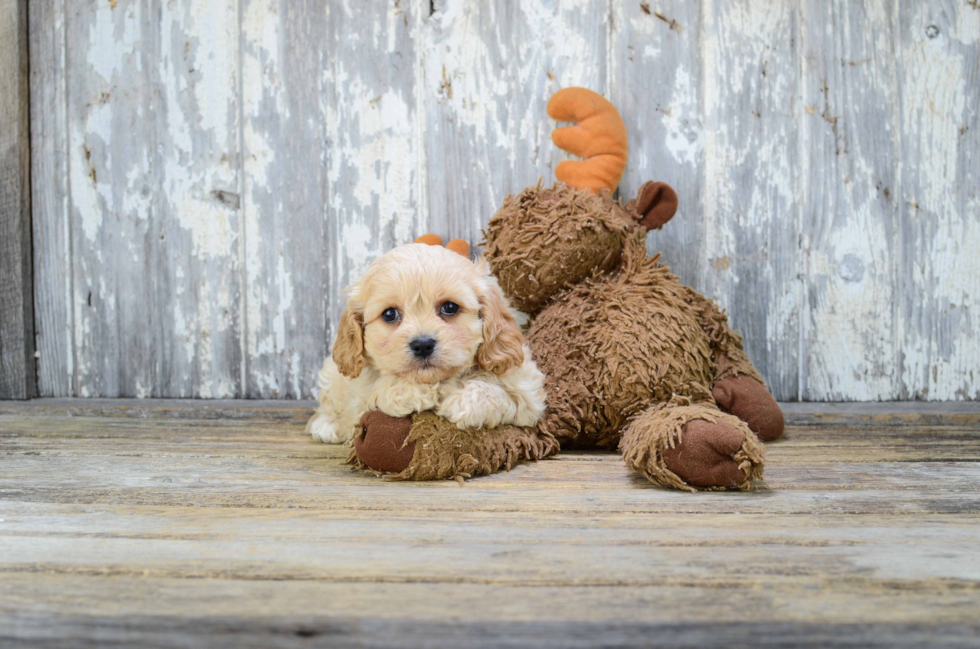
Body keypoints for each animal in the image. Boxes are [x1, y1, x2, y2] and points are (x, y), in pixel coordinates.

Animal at [306, 243, 548, 446]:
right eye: (389, 314)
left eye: (450, 307)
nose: (422, 345)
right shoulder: (360, 394)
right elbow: (379, 389)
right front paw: (413, 392)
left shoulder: (528, 395)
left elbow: (498, 393)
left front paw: (464, 402)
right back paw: (326, 425)